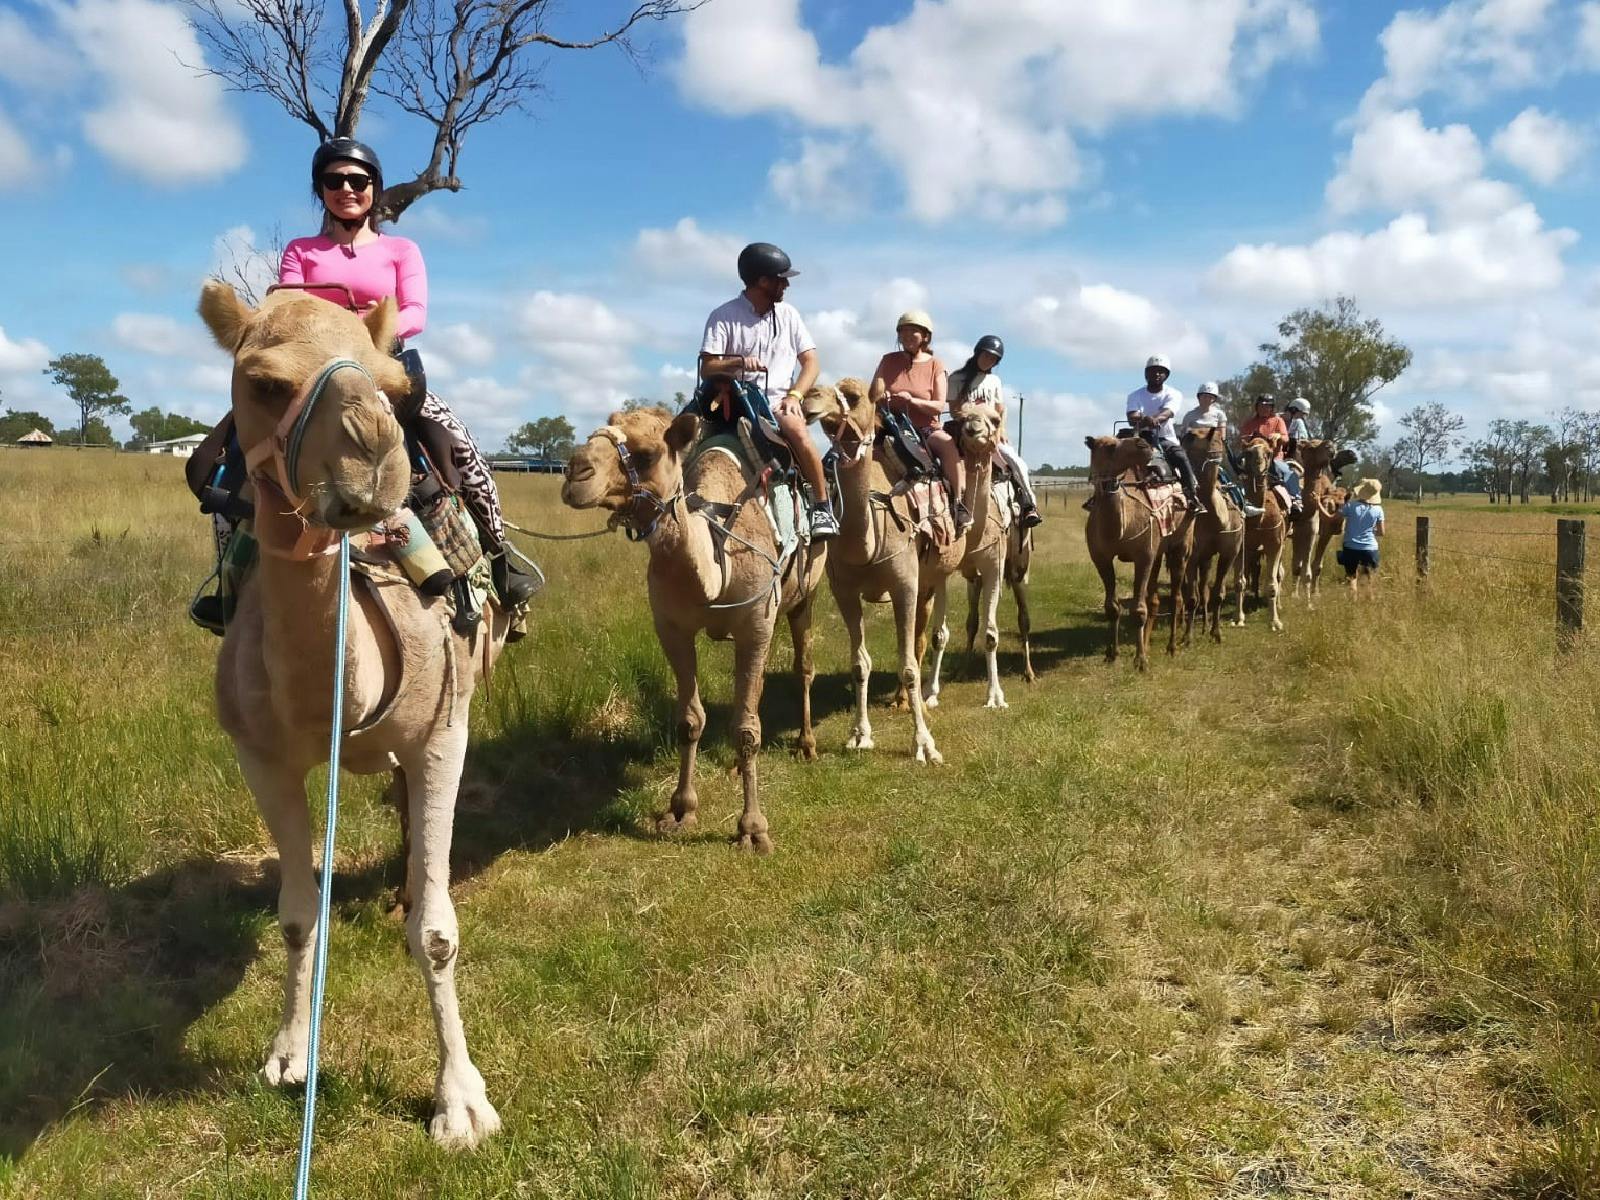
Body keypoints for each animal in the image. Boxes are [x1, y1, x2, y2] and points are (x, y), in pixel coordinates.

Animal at [197, 281, 505, 1149]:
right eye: (264, 383)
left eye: (395, 387)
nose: (373, 455)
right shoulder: (260, 756)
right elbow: (299, 916)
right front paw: (287, 1058)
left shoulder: (444, 734)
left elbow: (437, 931)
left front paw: (460, 1102)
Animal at [561, 406, 826, 852]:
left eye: (647, 453)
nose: (575, 471)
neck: (718, 558)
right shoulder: (672, 626)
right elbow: (691, 719)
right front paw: (681, 809)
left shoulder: (756, 622)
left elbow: (746, 728)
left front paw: (753, 829)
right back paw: (736, 766)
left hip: (804, 595)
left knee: (802, 667)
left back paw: (806, 744)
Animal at [1084, 435, 1192, 670]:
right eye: (1110, 446)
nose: (1142, 444)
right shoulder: (1100, 558)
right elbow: (1112, 607)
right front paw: (1112, 654)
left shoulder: (1143, 556)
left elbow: (1138, 610)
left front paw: (1140, 660)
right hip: (1159, 553)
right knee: (1155, 599)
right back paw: (1149, 643)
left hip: (1181, 547)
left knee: (1176, 597)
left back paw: (1172, 647)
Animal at [1180, 427, 1244, 645]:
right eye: (1188, 449)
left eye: (1217, 443)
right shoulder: (1192, 557)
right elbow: (1192, 597)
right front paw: (1187, 637)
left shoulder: (1228, 554)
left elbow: (1217, 594)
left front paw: (1216, 633)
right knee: (1196, 591)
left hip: (1208, 558)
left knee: (1205, 590)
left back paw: (1206, 625)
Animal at [1232, 437, 1289, 632]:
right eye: (1248, 452)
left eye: (1269, 452)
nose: (1259, 465)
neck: (1259, 518)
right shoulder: (1242, 547)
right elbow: (1239, 582)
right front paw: (1239, 618)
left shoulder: (1275, 544)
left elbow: (1272, 583)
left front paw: (1275, 621)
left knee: (1279, 574)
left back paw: (1278, 604)